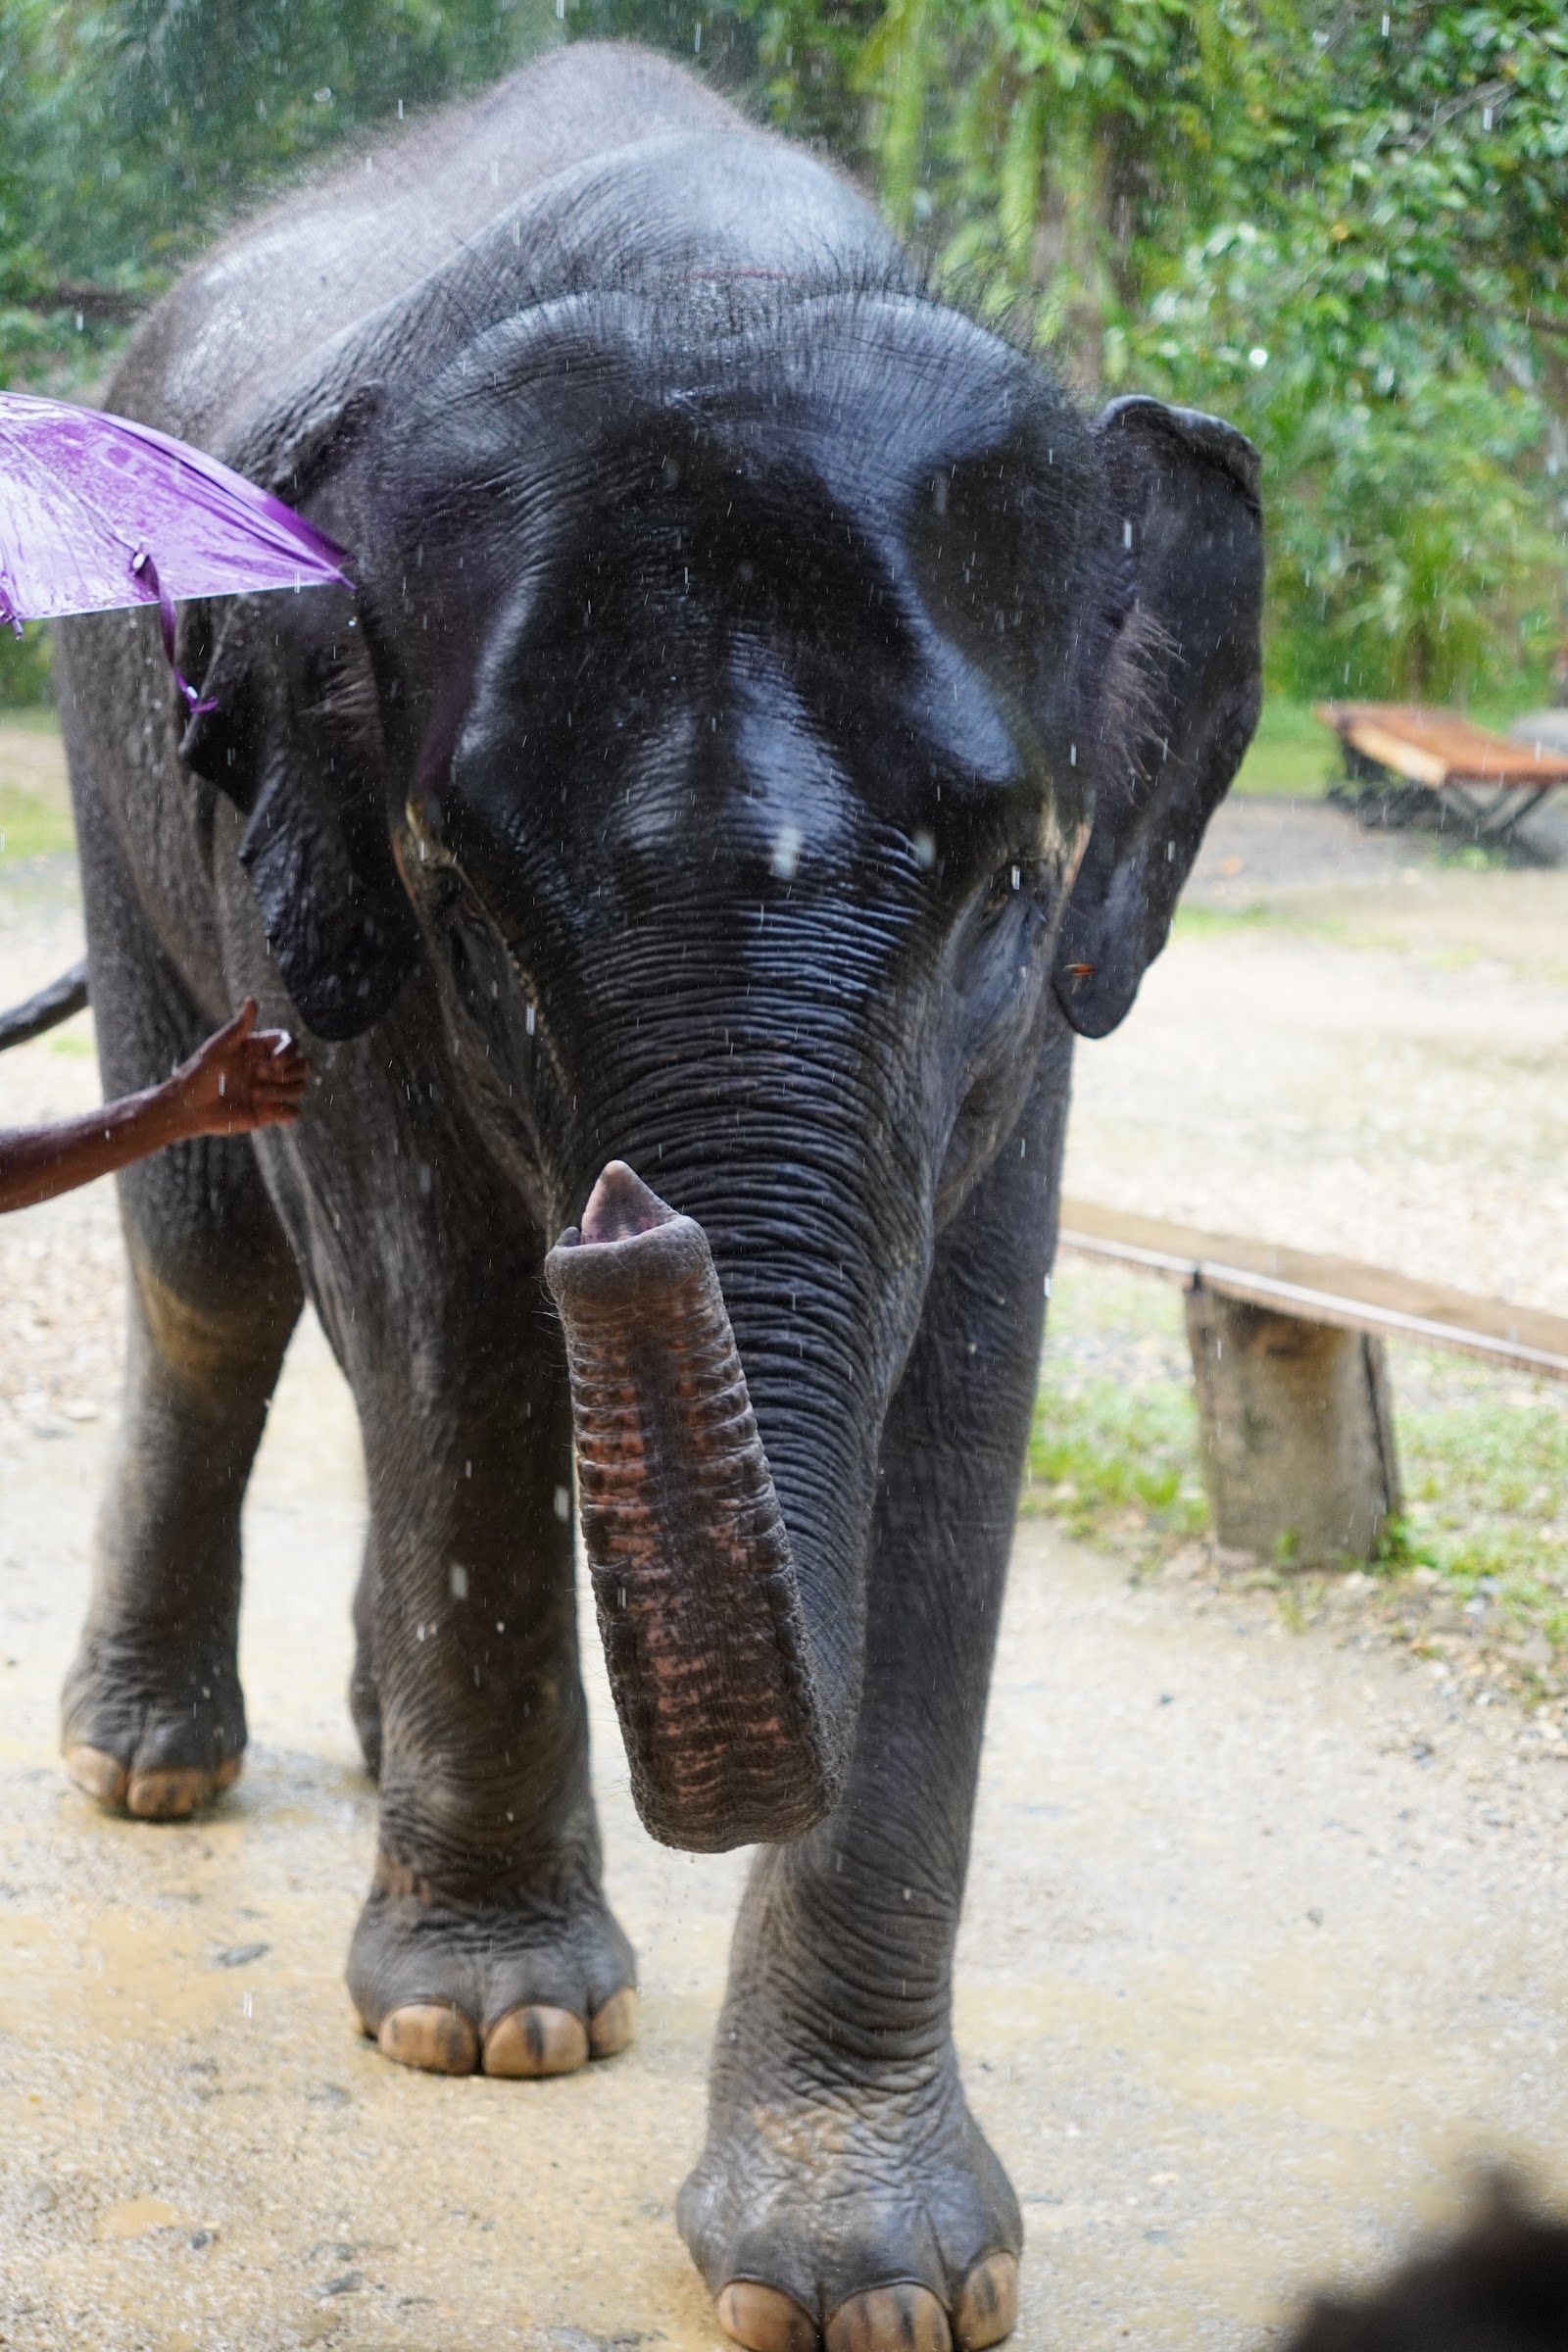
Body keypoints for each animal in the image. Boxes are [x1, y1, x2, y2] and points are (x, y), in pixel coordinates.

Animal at [52, 41, 1262, 2352]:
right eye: (468, 905)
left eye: (1008, 884)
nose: (627, 1215)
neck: (716, 270)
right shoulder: (316, 885)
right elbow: (444, 1320)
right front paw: (492, 2025)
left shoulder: (1039, 1032)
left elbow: (954, 1404)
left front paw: (881, 2280)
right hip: (103, 795)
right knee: (228, 1280)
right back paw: (146, 1772)